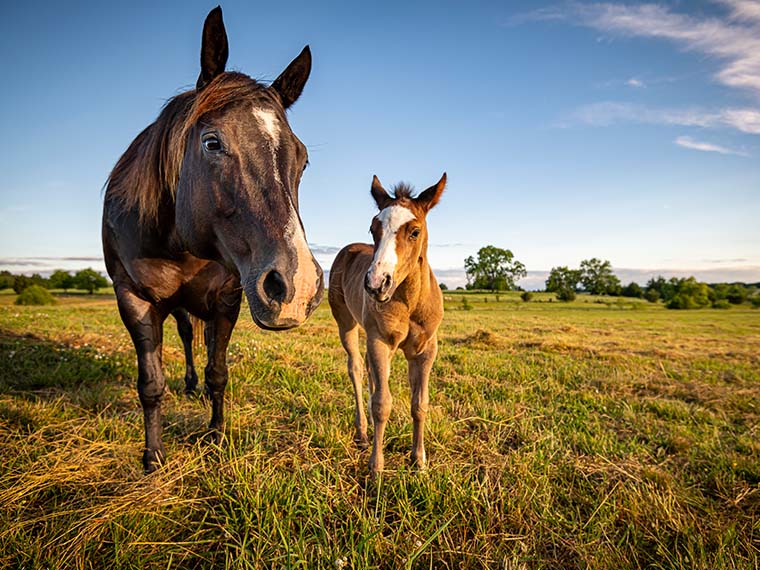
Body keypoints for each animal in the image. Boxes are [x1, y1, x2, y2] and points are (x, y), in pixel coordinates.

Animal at [102, 7, 322, 470]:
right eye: (212, 142)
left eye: (303, 159)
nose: (297, 286)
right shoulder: (132, 297)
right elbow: (150, 384)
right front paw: (153, 454)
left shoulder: (227, 297)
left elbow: (218, 371)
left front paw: (217, 435)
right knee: (186, 336)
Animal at [328, 172, 446, 470]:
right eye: (373, 229)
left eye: (414, 231)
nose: (376, 283)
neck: (410, 302)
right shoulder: (379, 341)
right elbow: (382, 403)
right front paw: (376, 468)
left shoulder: (426, 350)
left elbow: (420, 404)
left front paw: (419, 460)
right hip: (346, 324)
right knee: (357, 368)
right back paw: (362, 432)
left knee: (371, 373)